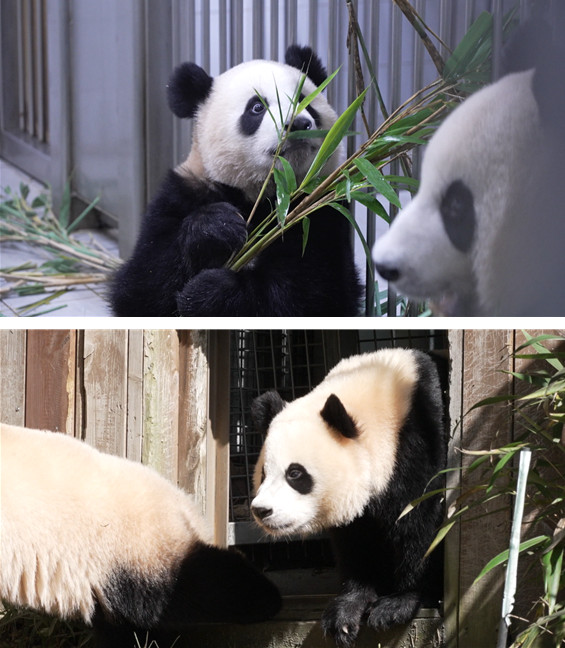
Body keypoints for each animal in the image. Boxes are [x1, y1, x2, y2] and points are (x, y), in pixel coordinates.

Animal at [110, 43, 362, 316]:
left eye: (303, 100)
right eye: (257, 107)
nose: (298, 123)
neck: (264, 193)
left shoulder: (320, 209)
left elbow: (315, 291)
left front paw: (208, 293)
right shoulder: (183, 193)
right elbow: (141, 285)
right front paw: (216, 227)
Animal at [249, 352, 448, 644]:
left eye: (295, 473)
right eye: (263, 474)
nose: (262, 510)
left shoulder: (417, 438)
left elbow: (419, 522)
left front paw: (397, 604)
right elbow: (355, 540)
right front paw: (345, 614)